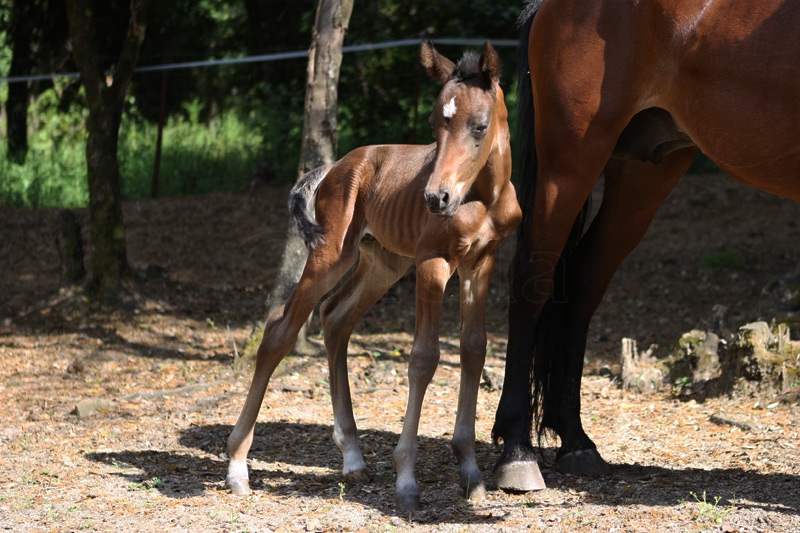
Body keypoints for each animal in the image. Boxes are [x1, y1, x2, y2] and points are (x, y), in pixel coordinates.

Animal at [226, 41, 521, 511]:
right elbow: (424, 358)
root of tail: (334, 167)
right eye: (435, 125)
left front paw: (471, 472)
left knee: (335, 317)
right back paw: (237, 465)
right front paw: (407, 482)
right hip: (331, 254)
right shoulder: (434, 261)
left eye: (479, 126)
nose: (435, 198)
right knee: (280, 330)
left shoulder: (481, 261)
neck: (483, 196)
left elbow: (474, 348)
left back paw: (352, 457)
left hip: (383, 263)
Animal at [491, 0, 800, 492]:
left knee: (583, 283)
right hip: (570, 161)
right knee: (532, 281)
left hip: (644, 168)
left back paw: (576, 441)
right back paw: (517, 451)